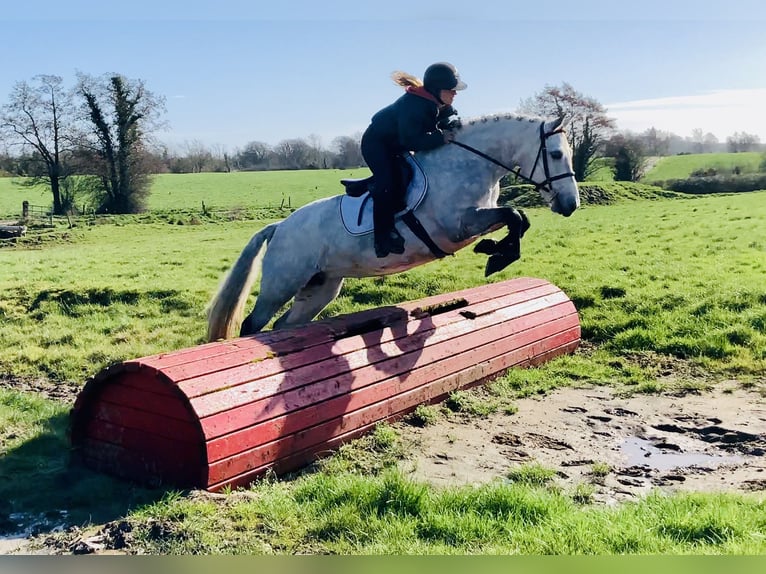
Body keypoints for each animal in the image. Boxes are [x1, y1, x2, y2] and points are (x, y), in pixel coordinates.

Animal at [206, 113, 580, 341]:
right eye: (557, 155)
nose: (570, 204)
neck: (471, 163)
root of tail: (279, 226)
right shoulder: (458, 225)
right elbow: (515, 215)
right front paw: (496, 256)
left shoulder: (477, 218)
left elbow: (518, 219)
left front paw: (495, 251)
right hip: (281, 283)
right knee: (253, 324)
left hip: (321, 287)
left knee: (285, 325)